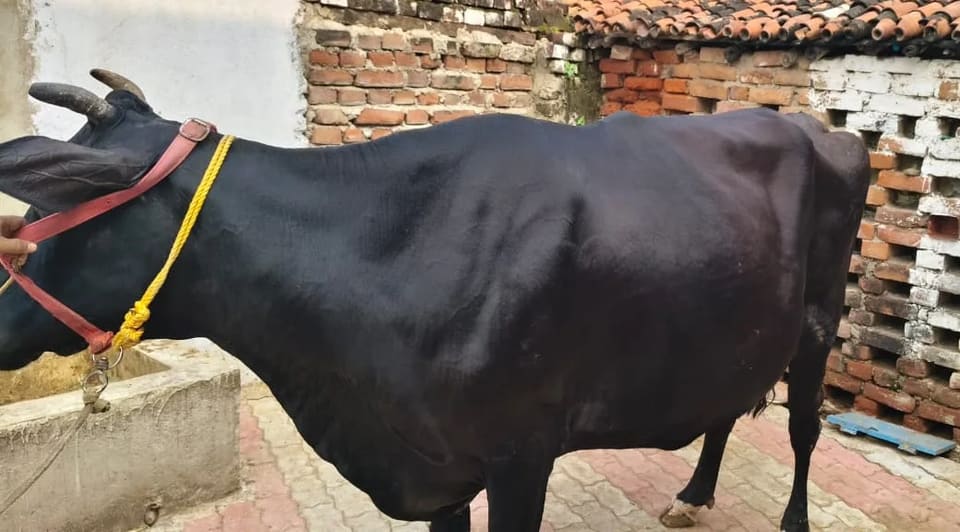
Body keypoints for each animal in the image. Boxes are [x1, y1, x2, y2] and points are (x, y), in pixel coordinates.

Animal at [0, 70, 869, 532]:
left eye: (45, 207)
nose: (2, 319)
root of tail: (817, 126)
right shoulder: (437, 463)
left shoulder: (522, 454)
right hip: (737, 321)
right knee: (728, 402)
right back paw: (692, 493)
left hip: (821, 323)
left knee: (803, 425)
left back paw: (792, 518)